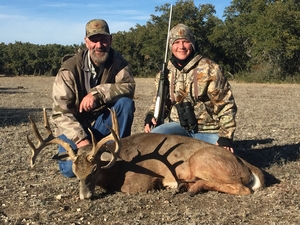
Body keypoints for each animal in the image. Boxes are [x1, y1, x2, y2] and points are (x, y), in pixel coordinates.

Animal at [26, 108, 264, 199]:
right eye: (76, 173)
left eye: (94, 170)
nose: (85, 196)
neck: (117, 167)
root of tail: (250, 167)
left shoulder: (141, 182)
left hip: (200, 160)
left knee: (243, 189)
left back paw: (190, 187)